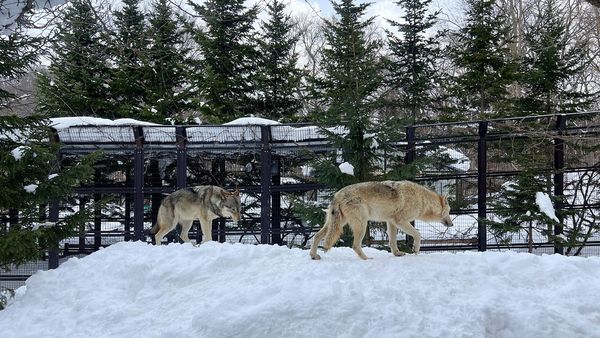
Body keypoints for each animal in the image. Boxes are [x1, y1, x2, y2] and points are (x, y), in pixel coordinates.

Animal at [312, 181, 452, 260]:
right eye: (449, 211)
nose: (452, 224)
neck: (422, 200)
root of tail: (337, 195)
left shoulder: (391, 222)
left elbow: (392, 242)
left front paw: (397, 254)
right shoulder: (400, 221)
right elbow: (418, 234)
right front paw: (416, 250)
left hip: (337, 225)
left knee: (316, 236)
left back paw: (314, 256)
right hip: (362, 225)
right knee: (355, 245)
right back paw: (366, 258)